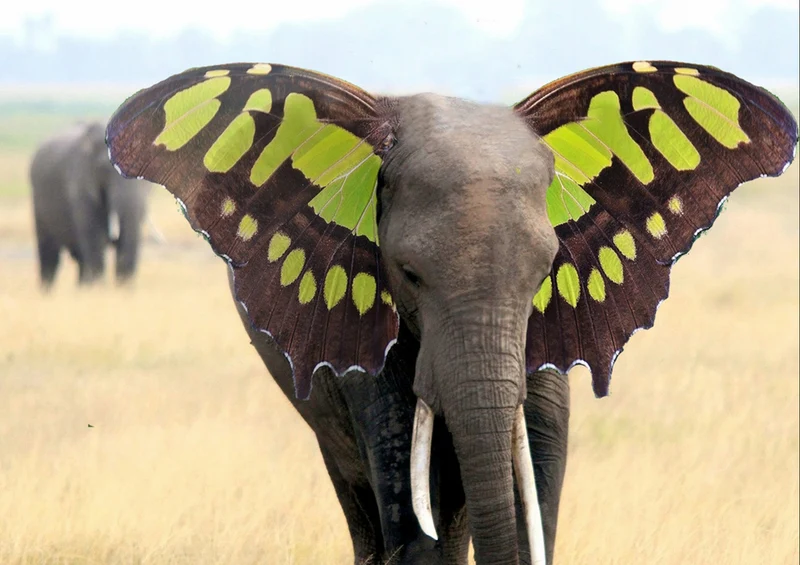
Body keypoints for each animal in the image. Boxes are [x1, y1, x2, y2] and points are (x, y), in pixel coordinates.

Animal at [29, 121, 154, 288]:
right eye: (105, 169)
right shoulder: (80, 182)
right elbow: (96, 238)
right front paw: (99, 290)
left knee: (80, 259)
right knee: (49, 255)